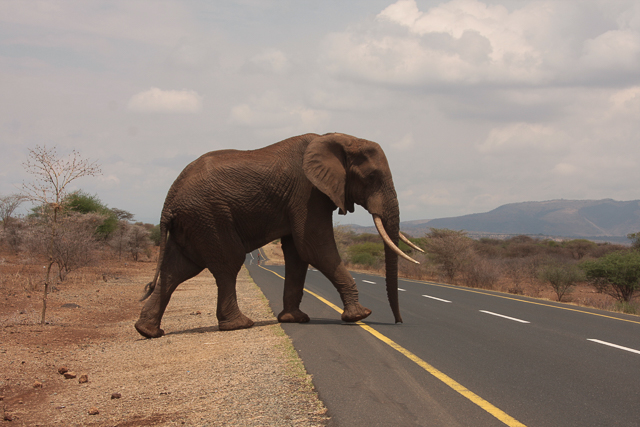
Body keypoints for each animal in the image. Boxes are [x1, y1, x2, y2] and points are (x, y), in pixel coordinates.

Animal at [134, 132, 422, 340]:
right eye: (372, 177)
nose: (398, 322)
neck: (338, 137)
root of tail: (168, 200)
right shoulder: (308, 193)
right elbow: (314, 247)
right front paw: (360, 315)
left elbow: (297, 253)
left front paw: (294, 319)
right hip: (208, 216)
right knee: (228, 263)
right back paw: (240, 325)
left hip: (192, 222)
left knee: (178, 269)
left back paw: (147, 331)